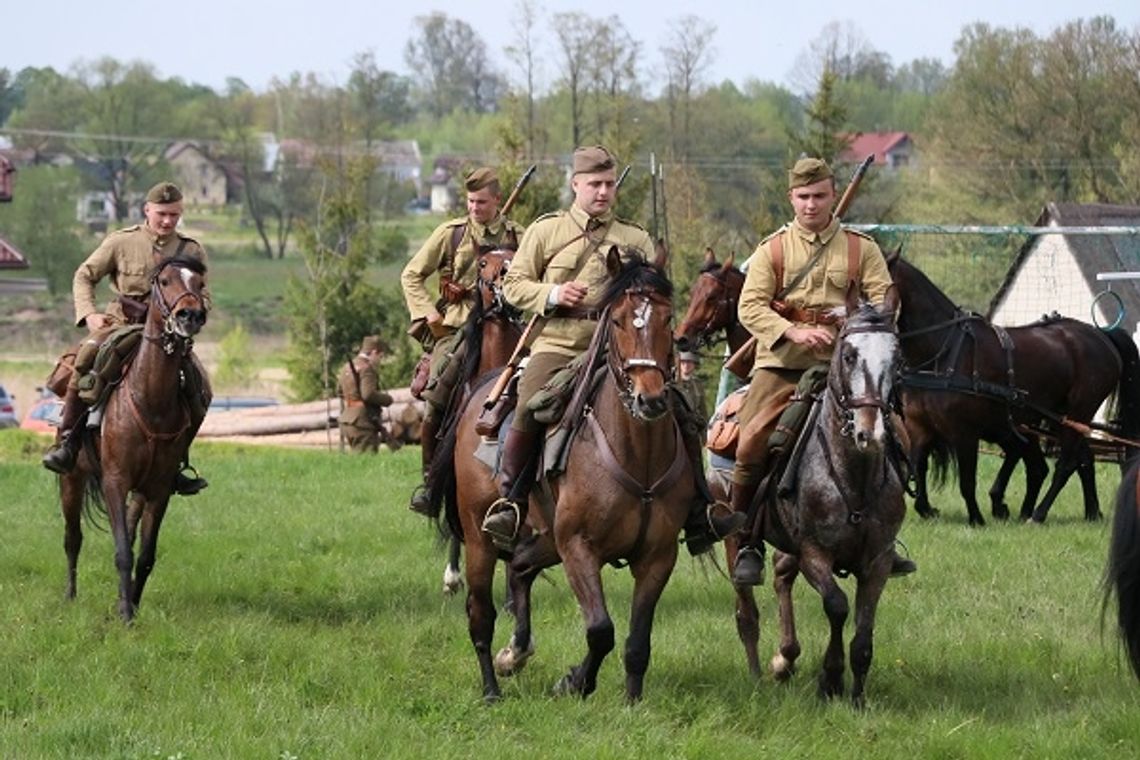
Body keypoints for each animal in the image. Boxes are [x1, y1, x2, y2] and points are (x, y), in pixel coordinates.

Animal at [58, 252, 209, 619]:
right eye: (165, 281)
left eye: (200, 283)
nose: (191, 315)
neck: (150, 401)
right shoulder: (115, 481)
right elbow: (122, 552)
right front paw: (125, 615)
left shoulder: (158, 490)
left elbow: (144, 555)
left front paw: (131, 605)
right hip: (72, 479)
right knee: (72, 538)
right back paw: (70, 595)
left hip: (138, 492)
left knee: (125, 527)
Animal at [433, 247, 688, 706]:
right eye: (618, 320)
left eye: (667, 318)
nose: (651, 399)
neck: (637, 457)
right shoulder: (578, 548)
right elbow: (601, 630)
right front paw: (575, 682)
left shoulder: (657, 557)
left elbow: (637, 641)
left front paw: (632, 701)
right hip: (482, 539)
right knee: (480, 612)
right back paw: (491, 688)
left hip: (545, 538)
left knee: (519, 569)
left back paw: (515, 653)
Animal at [889, 249, 1140, 524]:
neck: (942, 352)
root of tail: (1101, 335)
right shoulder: (919, 428)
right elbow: (915, 468)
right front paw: (925, 509)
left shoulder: (965, 433)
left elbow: (967, 481)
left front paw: (977, 519)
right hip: (1059, 416)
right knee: (1082, 459)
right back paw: (1091, 512)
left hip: (1079, 411)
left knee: (1066, 463)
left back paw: (1038, 514)